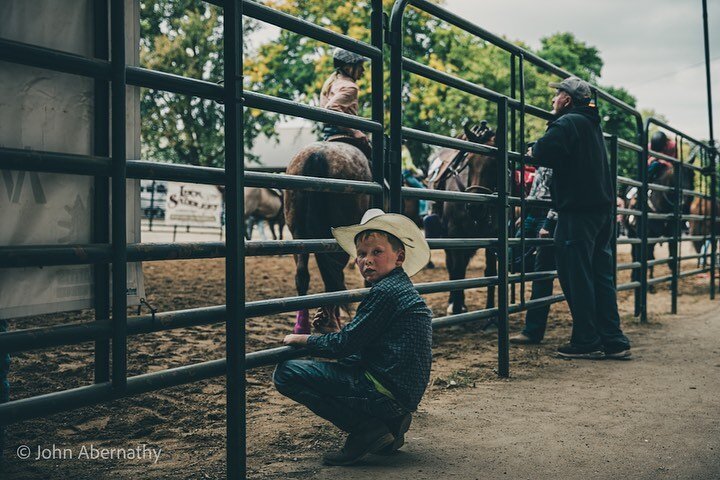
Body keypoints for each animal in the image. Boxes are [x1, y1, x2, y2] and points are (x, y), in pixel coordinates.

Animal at [284, 141, 372, 332]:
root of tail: (318, 155)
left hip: (298, 235)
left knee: (303, 275)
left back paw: (304, 326)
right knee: (332, 280)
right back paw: (330, 323)